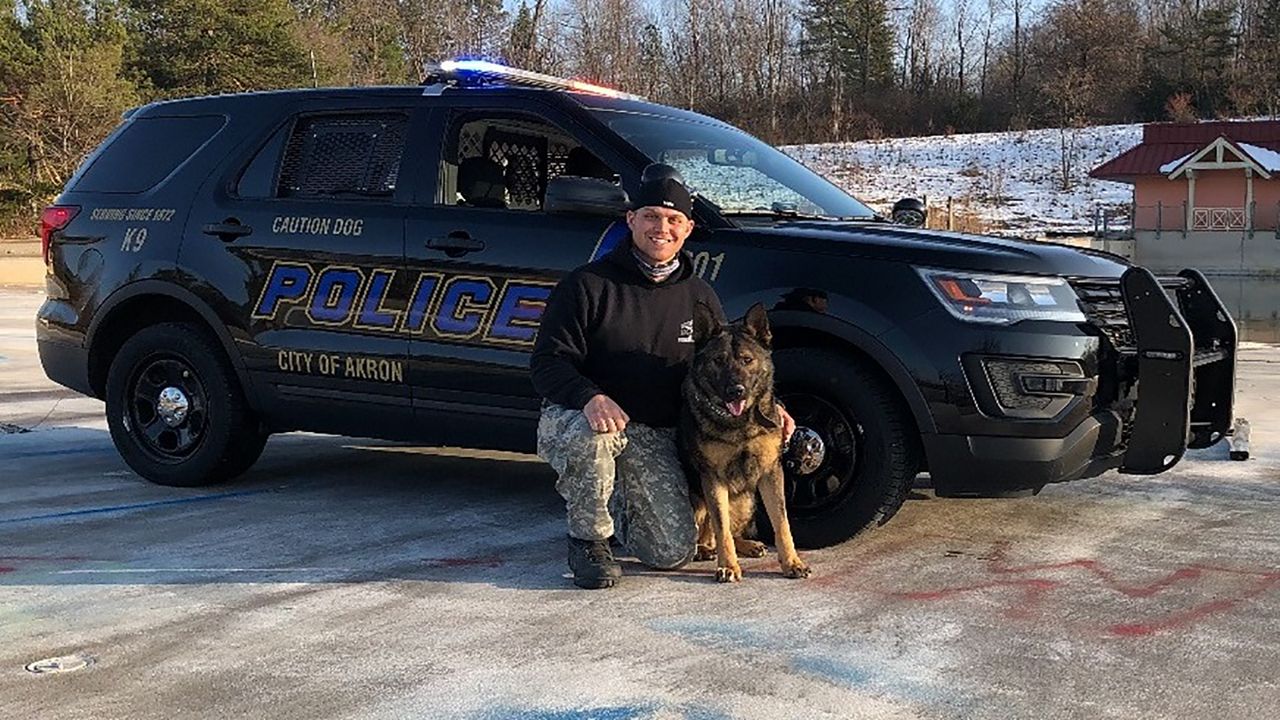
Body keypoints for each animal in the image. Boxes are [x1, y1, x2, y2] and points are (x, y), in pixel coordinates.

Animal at [680, 299, 808, 579]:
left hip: (747, 500)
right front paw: (728, 566)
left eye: (746, 360)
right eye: (718, 361)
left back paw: (746, 545)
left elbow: (782, 523)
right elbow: (722, 528)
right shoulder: (713, 478)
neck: (740, 425)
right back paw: (704, 550)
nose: (735, 391)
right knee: (708, 533)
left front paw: (792, 562)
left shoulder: (771, 473)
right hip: (698, 499)